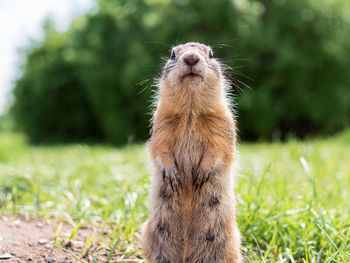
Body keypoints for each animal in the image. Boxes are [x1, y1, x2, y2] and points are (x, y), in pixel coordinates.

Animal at [141, 42, 242, 262]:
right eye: (172, 54)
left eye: (211, 53)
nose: (191, 58)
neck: (191, 110)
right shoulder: (161, 123)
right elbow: (159, 147)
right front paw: (171, 173)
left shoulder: (223, 123)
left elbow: (220, 148)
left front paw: (203, 172)